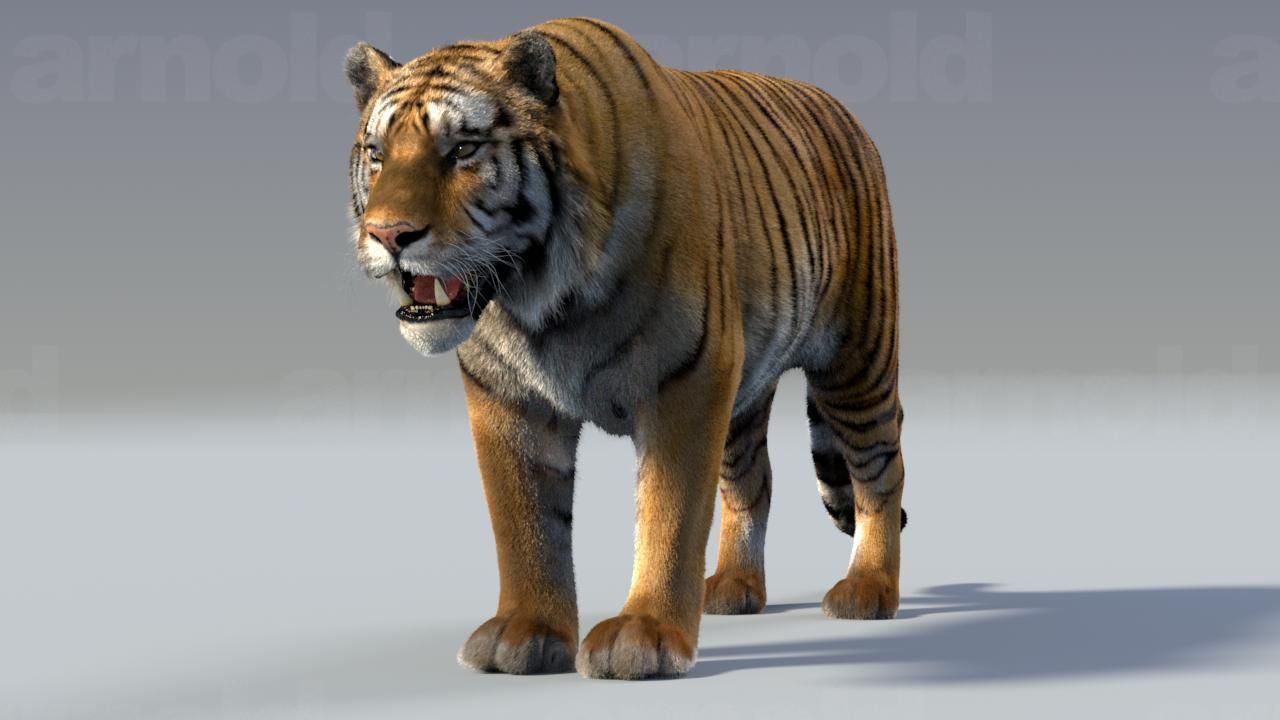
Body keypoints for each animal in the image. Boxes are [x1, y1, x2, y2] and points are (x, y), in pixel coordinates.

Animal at [344, 17, 906, 680]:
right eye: (377, 155)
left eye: (461, 151)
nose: (388, 235)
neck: (541, 300)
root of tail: (844, 110)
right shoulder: (506, 395)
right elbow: (524, 518)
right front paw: (524, 631)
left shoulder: (687, 379)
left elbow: (669, 513)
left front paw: (645, 636)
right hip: (746, 395)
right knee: (753, 480)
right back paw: (733, 588)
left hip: (857, 361)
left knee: (879, 472)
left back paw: (869, 589)